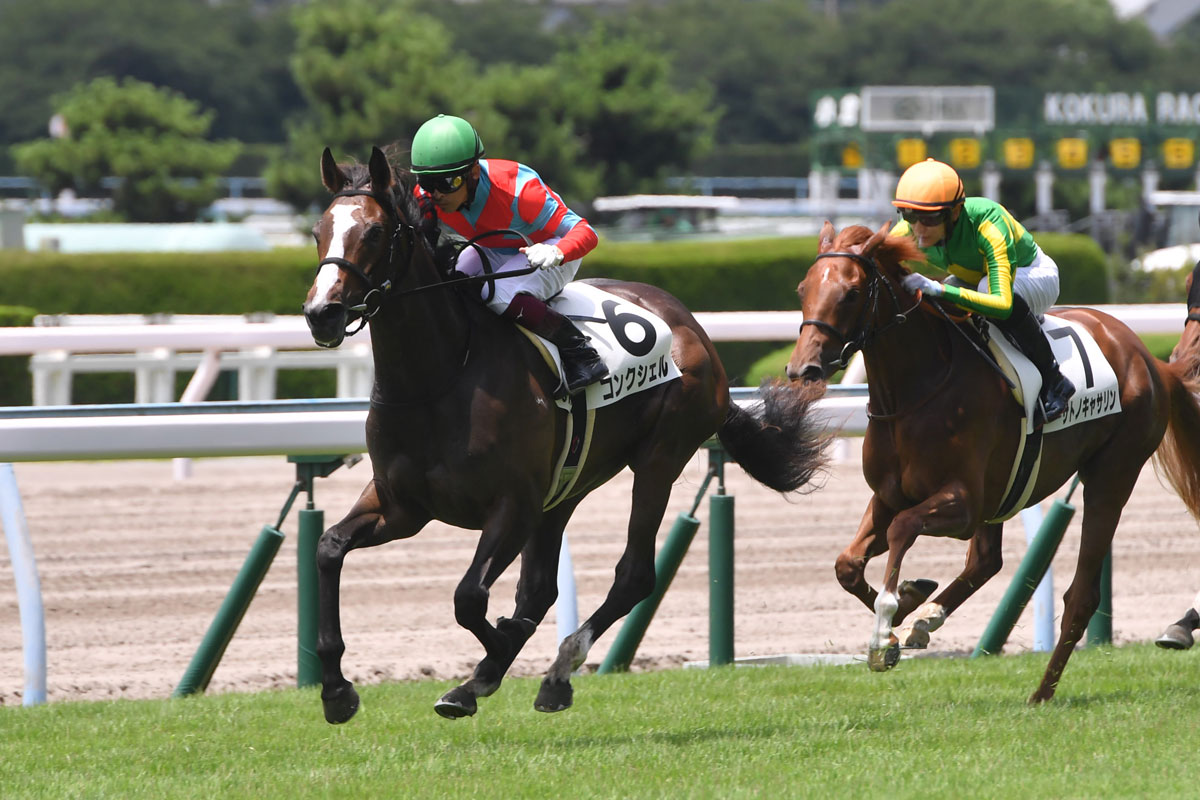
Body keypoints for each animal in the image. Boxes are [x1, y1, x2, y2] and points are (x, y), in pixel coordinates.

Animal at [302, 146, 829, 724]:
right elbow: (329, 548)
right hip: (568, 483)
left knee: (632, 575)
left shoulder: (512, 505)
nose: (321, 314)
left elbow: (470, 598)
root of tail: (697, 332)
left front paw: (494, 659)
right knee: (539, 588)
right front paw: (336, 690)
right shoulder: (403, 505)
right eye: (318, 230)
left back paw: (554, 671)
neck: (440, 376)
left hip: (659, 458)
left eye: (375, 232)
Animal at [785, 221, 1200, 703]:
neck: (916, 391)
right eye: (803, 289)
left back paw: (1041, 693)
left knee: (1079, 596)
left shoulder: (962, 503)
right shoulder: (889, 494)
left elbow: (902, 529)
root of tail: (1150, 359)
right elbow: (847, 565)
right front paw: (902, 613)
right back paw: (929, 617)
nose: (803, 369)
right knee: (987, 561)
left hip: (1110, 476)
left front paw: (887, 625)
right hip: (1005, 490)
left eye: (851, 293)